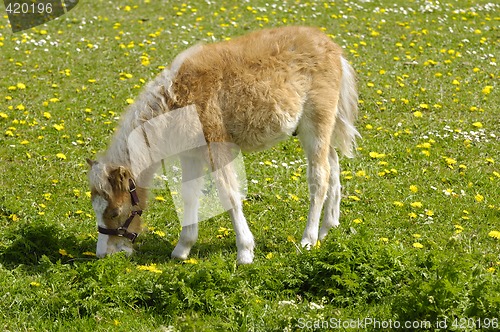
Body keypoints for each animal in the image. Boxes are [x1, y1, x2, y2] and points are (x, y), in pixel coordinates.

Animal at [87, 26, 360, 264]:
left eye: (115, 212)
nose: (103, 253)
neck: (176, 97)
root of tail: (333, 48)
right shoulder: (190, 154)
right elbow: (189, 194)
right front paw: (182, 248)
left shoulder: (216, 145)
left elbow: (229, 194)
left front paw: (245, 252)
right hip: (311, 129)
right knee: (333, 164)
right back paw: (328, 227)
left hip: (316, 123)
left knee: (319, 176)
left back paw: (308, 239)